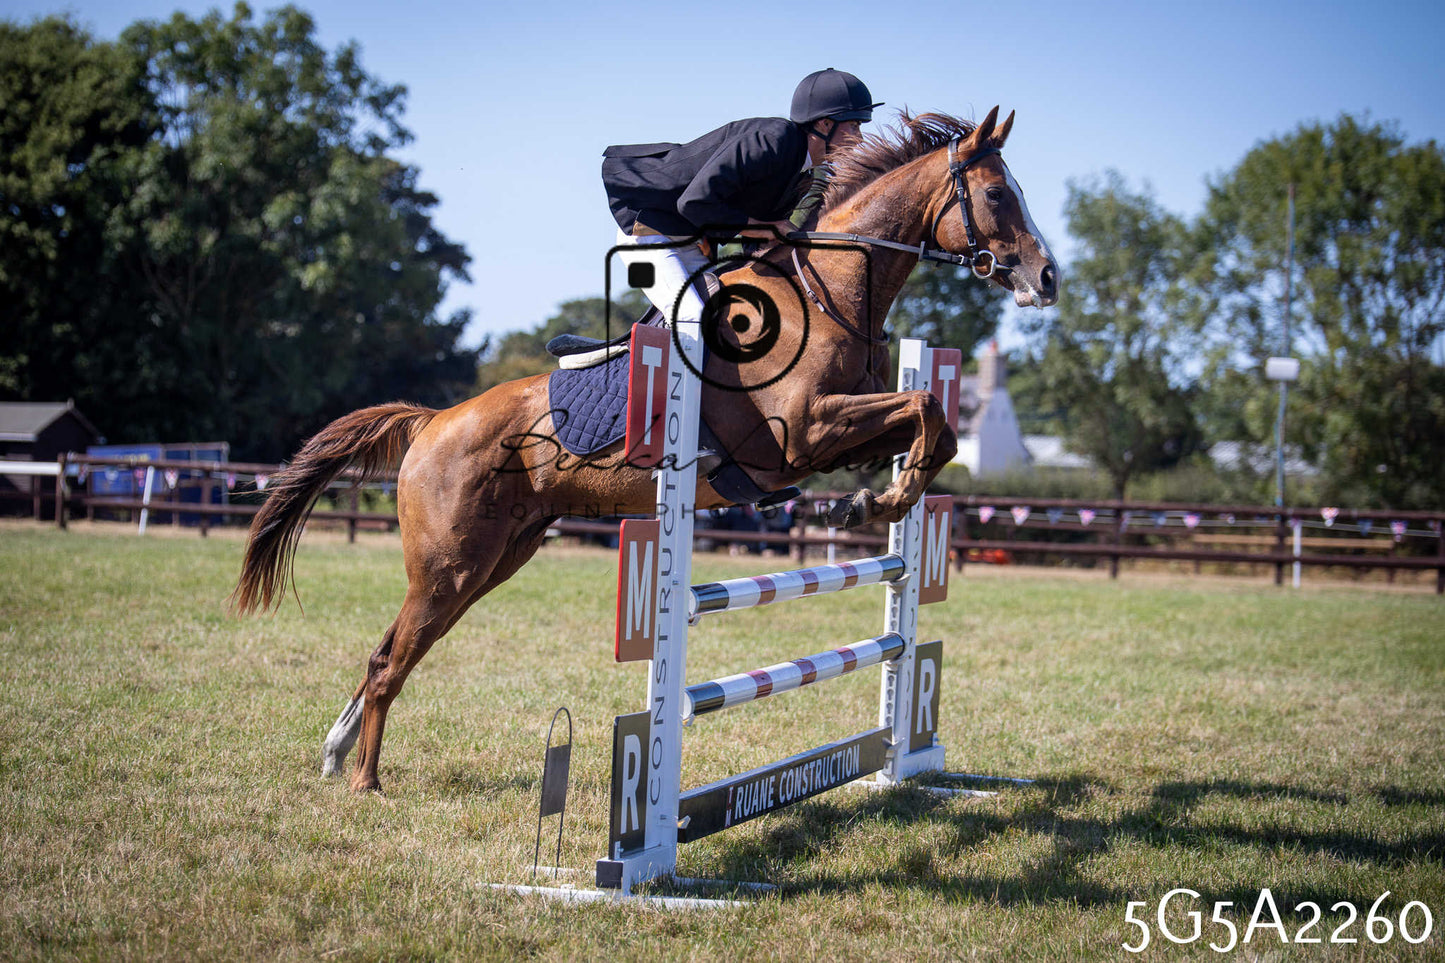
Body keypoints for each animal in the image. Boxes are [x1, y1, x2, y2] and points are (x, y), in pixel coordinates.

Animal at [232, 107, 1059, 793]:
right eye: (996, 197)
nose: (1045, 278)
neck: (827, 293)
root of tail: (433, 420)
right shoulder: (803, 431)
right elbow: (924, 407)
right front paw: (877, 499)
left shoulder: (837, 431)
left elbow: (933, 424)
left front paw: (875, 498)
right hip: (452, 563)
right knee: (389, 660)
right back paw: (365, 780)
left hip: (493, 560)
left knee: (391, 650)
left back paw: (338, 752)